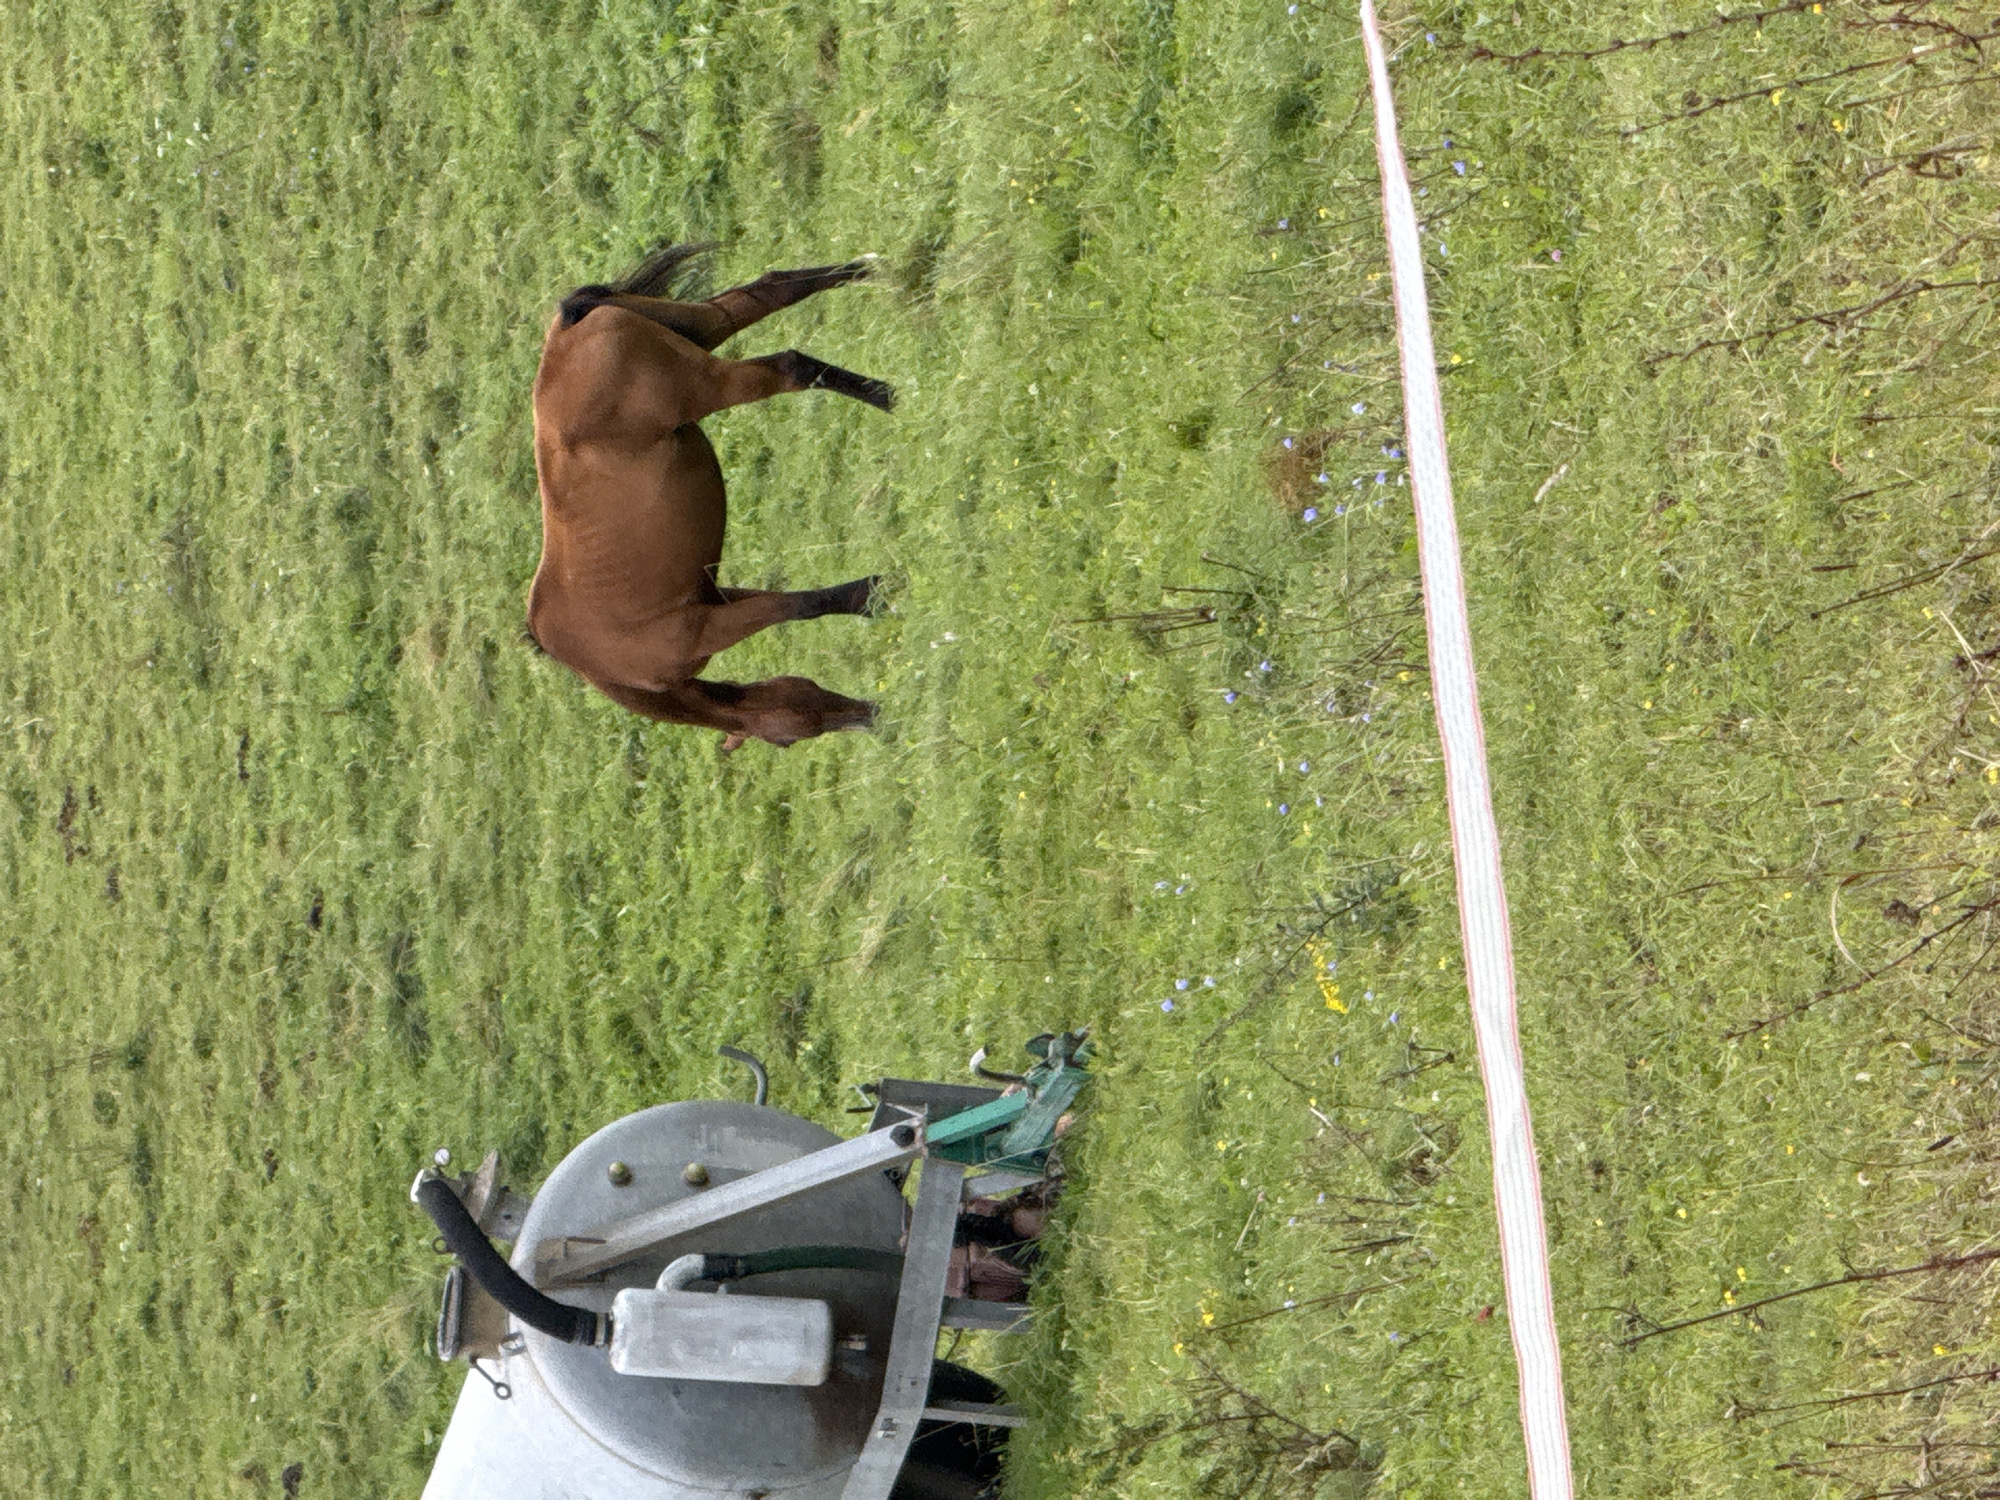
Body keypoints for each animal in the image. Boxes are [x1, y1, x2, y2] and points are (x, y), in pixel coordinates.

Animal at [526, 244, 893, 751]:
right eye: (788, 740)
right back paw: (864, 275)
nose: (876, 719)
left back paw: (887, 395)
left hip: (710, 382)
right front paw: (877, 594)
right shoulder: (716, 600)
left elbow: (799, 606)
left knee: (791, 367)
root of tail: (565, 335)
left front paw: (879, 591)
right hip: (704, 325)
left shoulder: (706, 628)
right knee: (770, 290)